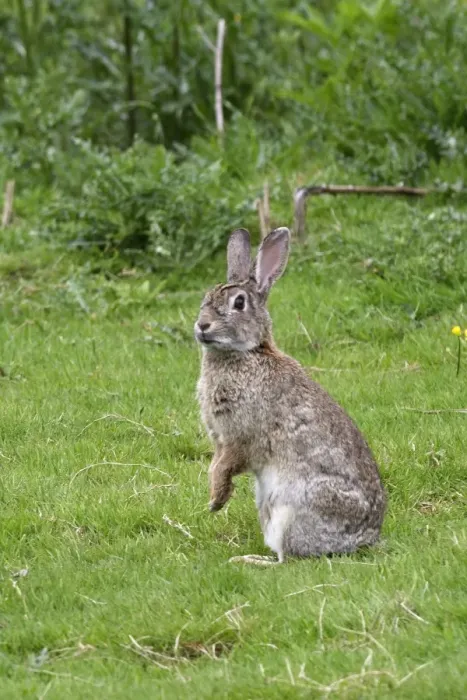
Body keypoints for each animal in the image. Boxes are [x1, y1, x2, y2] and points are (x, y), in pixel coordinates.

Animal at [195, 226, 386, 564]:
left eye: (239, 303)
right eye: (207, 296)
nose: (202, 325)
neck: (248, 353)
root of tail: (363, 539)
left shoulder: (240, 436)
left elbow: (227, 465)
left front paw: (216, 501)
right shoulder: (220, 439)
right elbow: (215, 464)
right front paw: (215, 499)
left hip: (292, 508)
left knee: (289, 559)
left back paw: (249, 561)